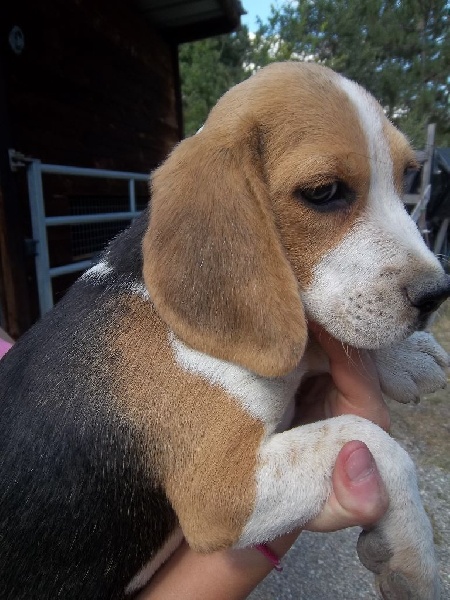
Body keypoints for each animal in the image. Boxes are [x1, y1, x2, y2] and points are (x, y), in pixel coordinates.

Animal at [0, 62, 450, 600]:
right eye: (324, 192)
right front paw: (413, 560)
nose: (438, 294)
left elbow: (314, 343)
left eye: (407, 177)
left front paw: (409, 358)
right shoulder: (224, 494)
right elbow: (368, 438)